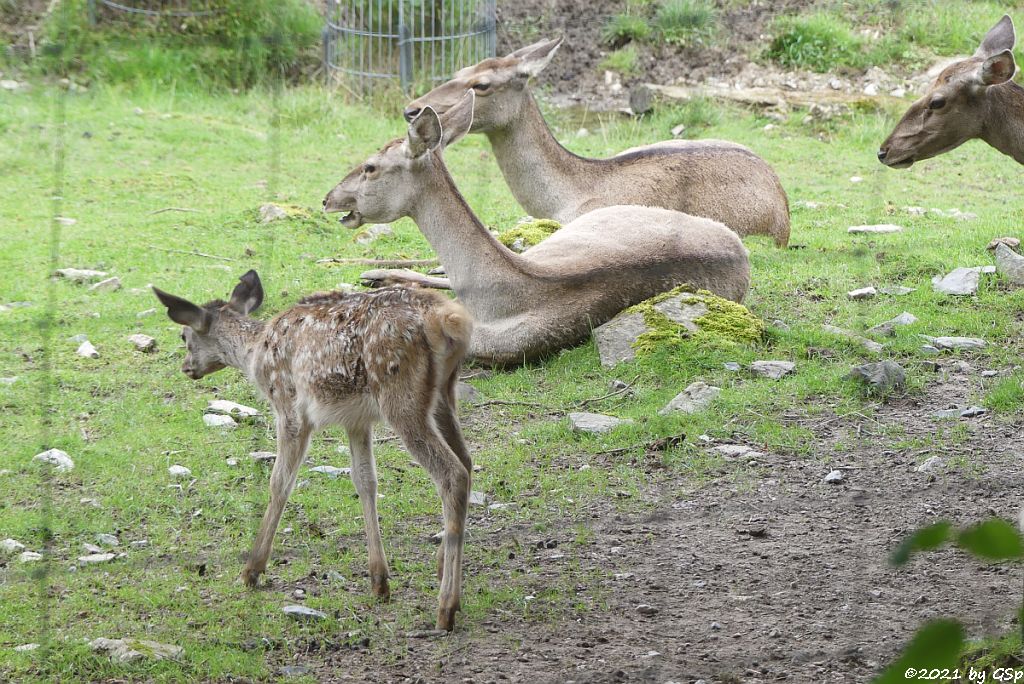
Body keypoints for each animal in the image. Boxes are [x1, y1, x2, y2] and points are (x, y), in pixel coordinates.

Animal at [153, 270, 473, 630]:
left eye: (184, 336)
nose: (186, 367)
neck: (255, 353)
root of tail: (450, 319)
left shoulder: (289, 407)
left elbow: (280, 482)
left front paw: (252, 569)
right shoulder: (357, 420)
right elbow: (365, 481)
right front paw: (379, 580)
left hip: (401, 397)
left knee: (453, 474)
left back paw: (446, 606)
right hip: (444, 395)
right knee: (468, 462)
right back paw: (442, 566)